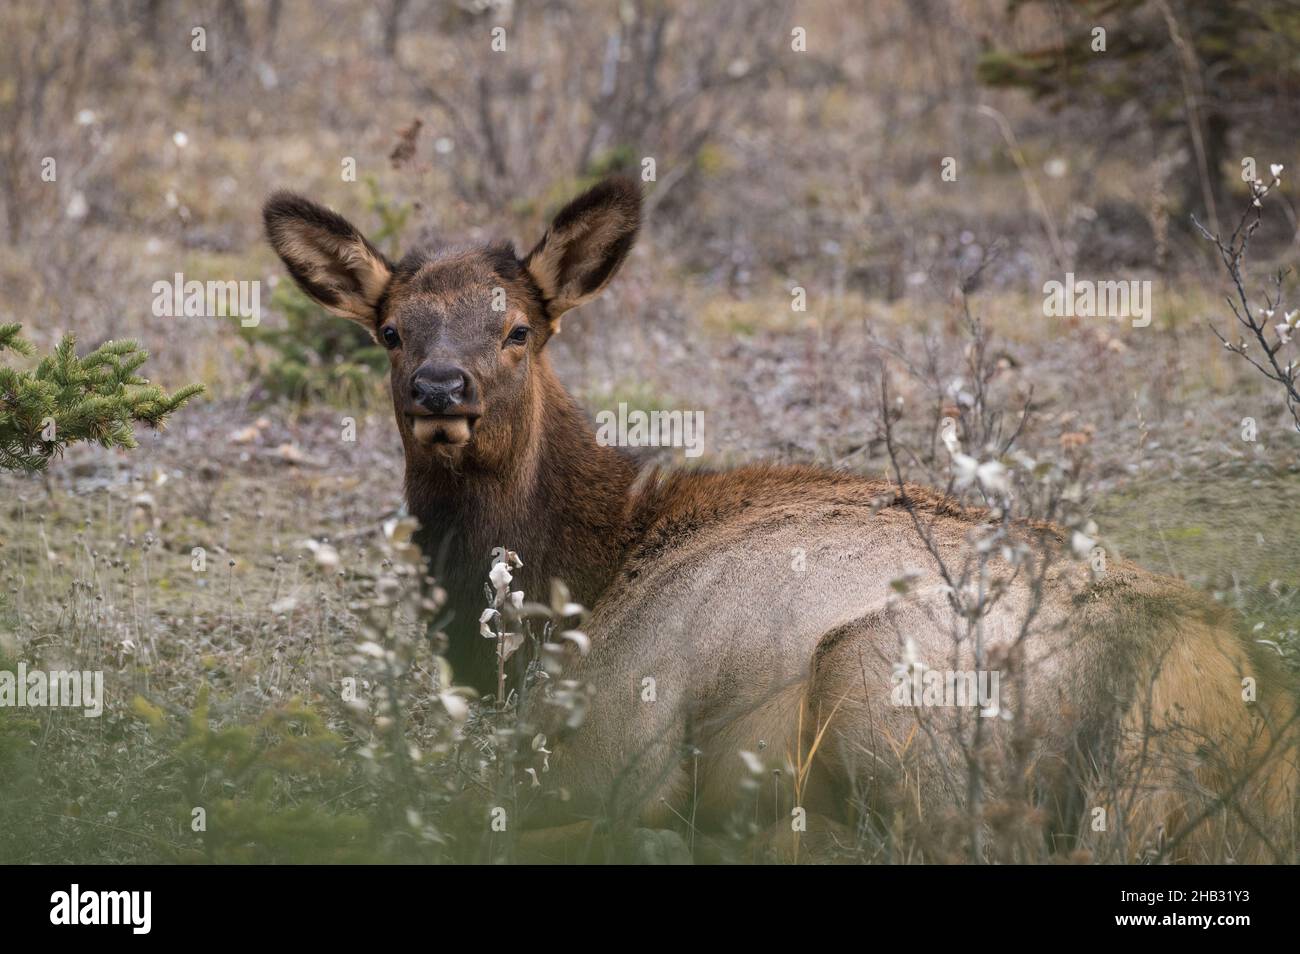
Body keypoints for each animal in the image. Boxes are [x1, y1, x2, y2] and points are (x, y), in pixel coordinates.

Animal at [265, 177, 1298, 863]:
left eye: (518, 329)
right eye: (391, 331)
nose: (443, 388)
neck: (577, 578)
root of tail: (1205, 680)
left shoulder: (612, 742)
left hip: (878, 673)